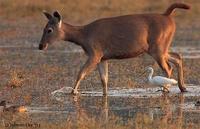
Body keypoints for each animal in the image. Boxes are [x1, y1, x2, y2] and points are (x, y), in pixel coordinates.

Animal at [39, 2, 191, 95]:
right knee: (178, 57)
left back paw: (166, 89)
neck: (83, 36)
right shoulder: (103, 57)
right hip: (161, 47)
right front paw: (105, 94)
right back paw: (182, 87)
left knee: (168, 67)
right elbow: (104, 79)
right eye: (44, 28)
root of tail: (168, 16)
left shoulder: (95, 53)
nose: (41, 46)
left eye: (49, 30)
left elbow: (81, 73)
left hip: (157, 47)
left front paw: (72, 92)